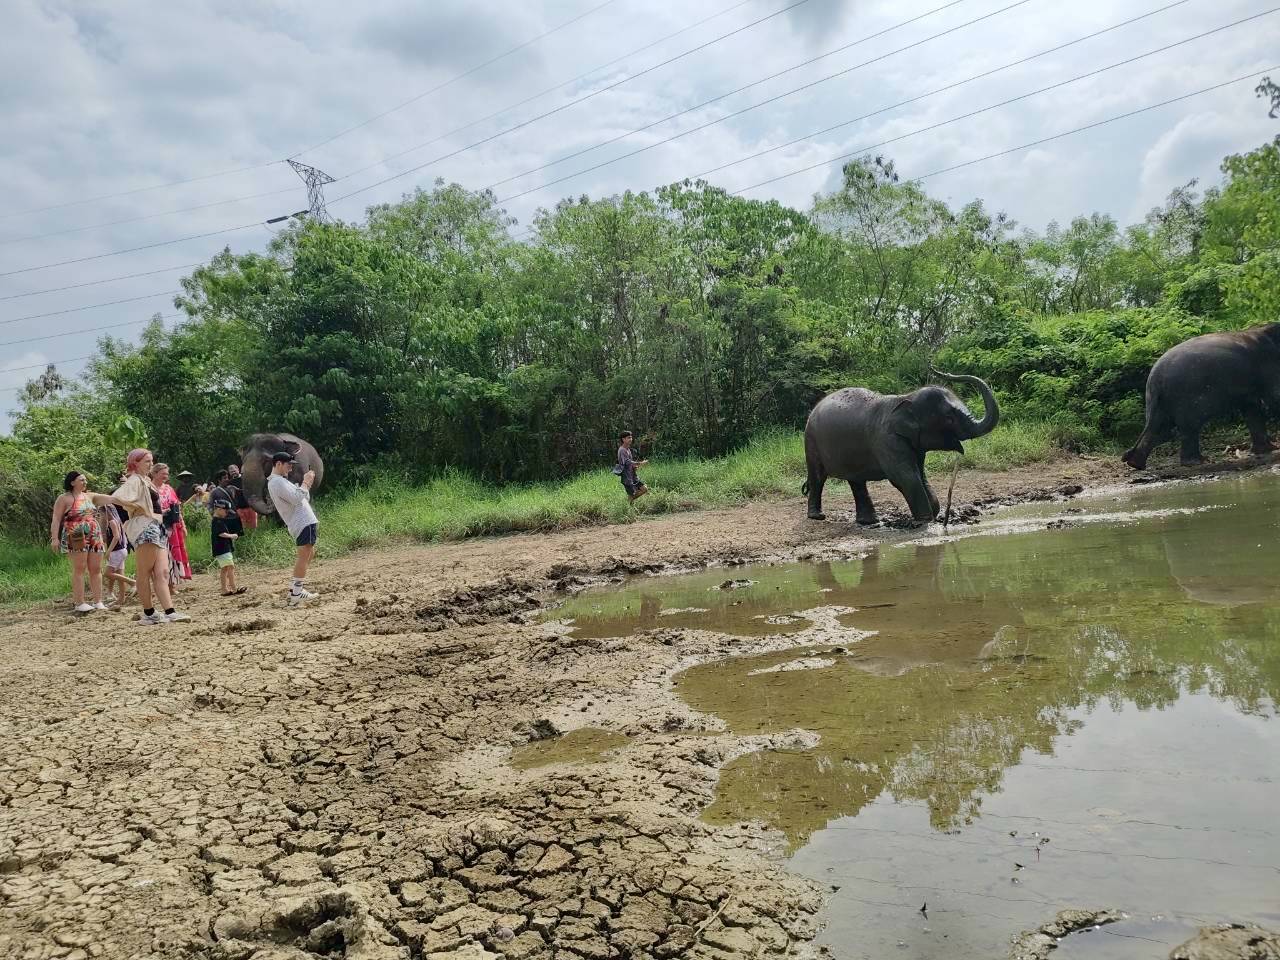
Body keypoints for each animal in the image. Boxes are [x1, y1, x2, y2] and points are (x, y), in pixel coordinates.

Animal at [802, 369, 1000, 523]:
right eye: (949, 418)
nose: (946, 372)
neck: (905, 398)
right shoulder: (887, 440)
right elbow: (905, 476)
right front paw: (926, 520)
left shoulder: (915, 445)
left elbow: (920, 475)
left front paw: (934, 512)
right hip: (811, 440)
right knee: (818, 477)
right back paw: (817, 516)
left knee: (856, 481)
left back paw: (870, 522)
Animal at [1122, 323, 1280, 469]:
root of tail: (1155, 378)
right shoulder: (1267, 365)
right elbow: (1273, 397)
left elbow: (1251, 407)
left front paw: (1267, 450)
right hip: (1185, 394)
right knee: (1189, 427)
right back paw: (1198, 462)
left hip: (1158, 400)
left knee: (1161, 429)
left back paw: (1135, 463)